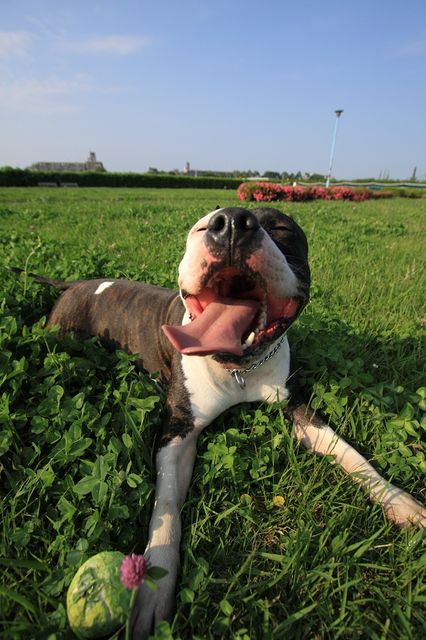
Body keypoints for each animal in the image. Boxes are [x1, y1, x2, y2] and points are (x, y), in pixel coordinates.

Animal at [15, 206, 426, 639]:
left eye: (281, 227)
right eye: (199, 226)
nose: (230, 222)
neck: (238, 368)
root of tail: (75, 283)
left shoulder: (297, 407)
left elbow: (347, 452)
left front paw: (397, 500)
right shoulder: (177, 431)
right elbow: (167, 502)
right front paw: (154, 584)